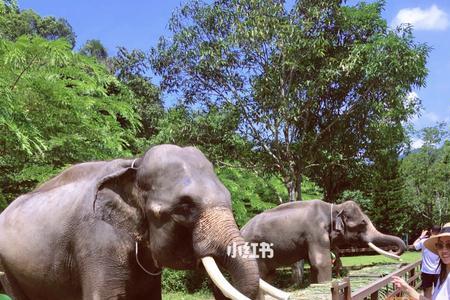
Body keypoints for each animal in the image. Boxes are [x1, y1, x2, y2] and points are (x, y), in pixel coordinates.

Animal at [243, 199, 408, 284]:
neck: (333, 207)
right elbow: (321, 262)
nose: (394, 250)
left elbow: (313, 263)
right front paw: (325, 283)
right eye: (362, 224)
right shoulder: (314, 232)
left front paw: (316, 282)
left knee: (269, 275)